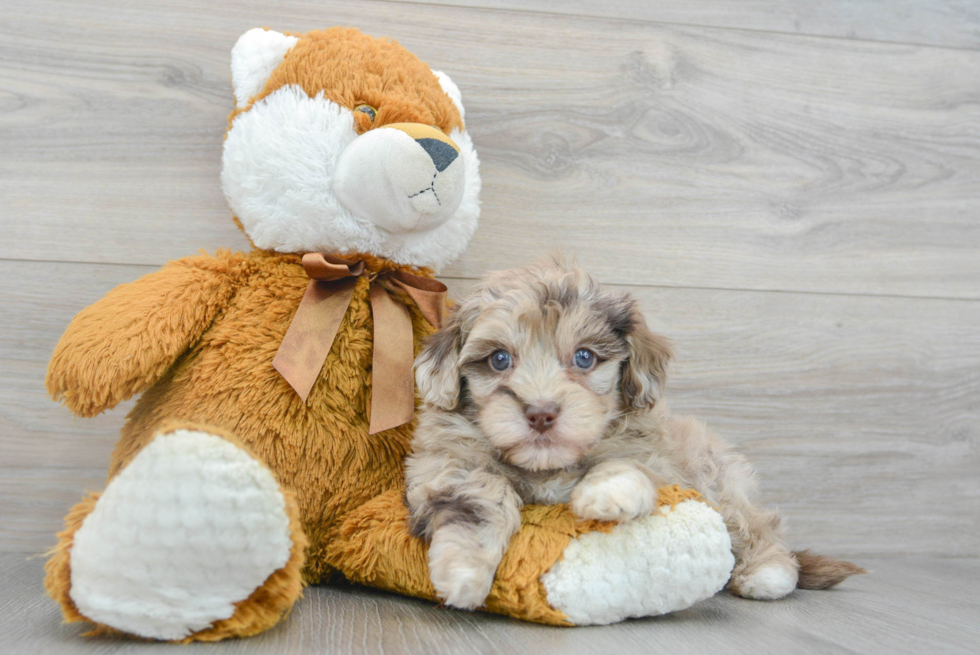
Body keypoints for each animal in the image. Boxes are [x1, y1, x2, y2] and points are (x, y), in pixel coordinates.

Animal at [402, 255, 860, 608]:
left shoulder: (655, 457)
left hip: (717, 478)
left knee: (758, 526)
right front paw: (462, 573)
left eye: (584, 357)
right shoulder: (449, 464)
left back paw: (767, 573)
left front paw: (608, 492)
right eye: (499, 359)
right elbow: (478, 500)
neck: (547, 467)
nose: (541, 414)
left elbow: (623, 463)